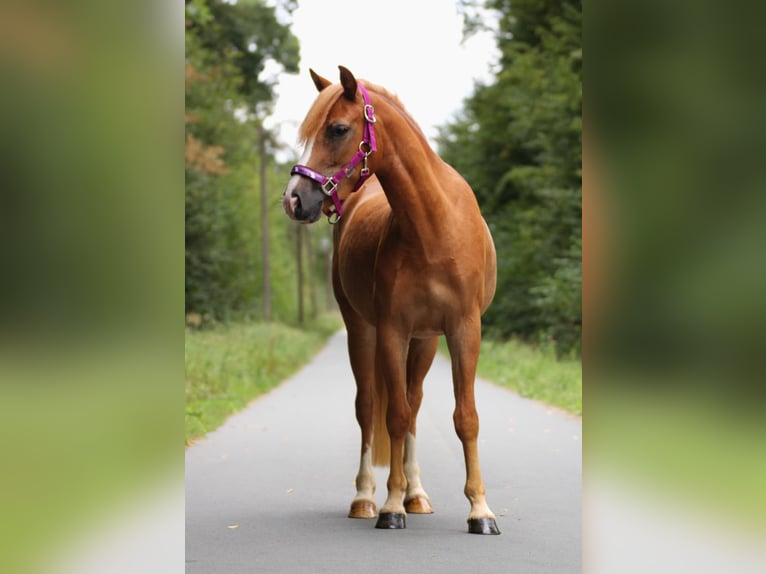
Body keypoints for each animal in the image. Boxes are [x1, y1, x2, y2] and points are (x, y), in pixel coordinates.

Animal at [281, 66, 499, 534]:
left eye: (338, 129)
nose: (294, 199)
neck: (434, 227)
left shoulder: (463, 330)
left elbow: (464, 417)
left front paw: (480, 510)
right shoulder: (391, 331)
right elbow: (392, 416)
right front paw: (391, 505)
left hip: (425, 341)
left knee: (414, 406)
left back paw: (417, 494)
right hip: (361, 332)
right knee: (369, 409)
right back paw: (366, 497)